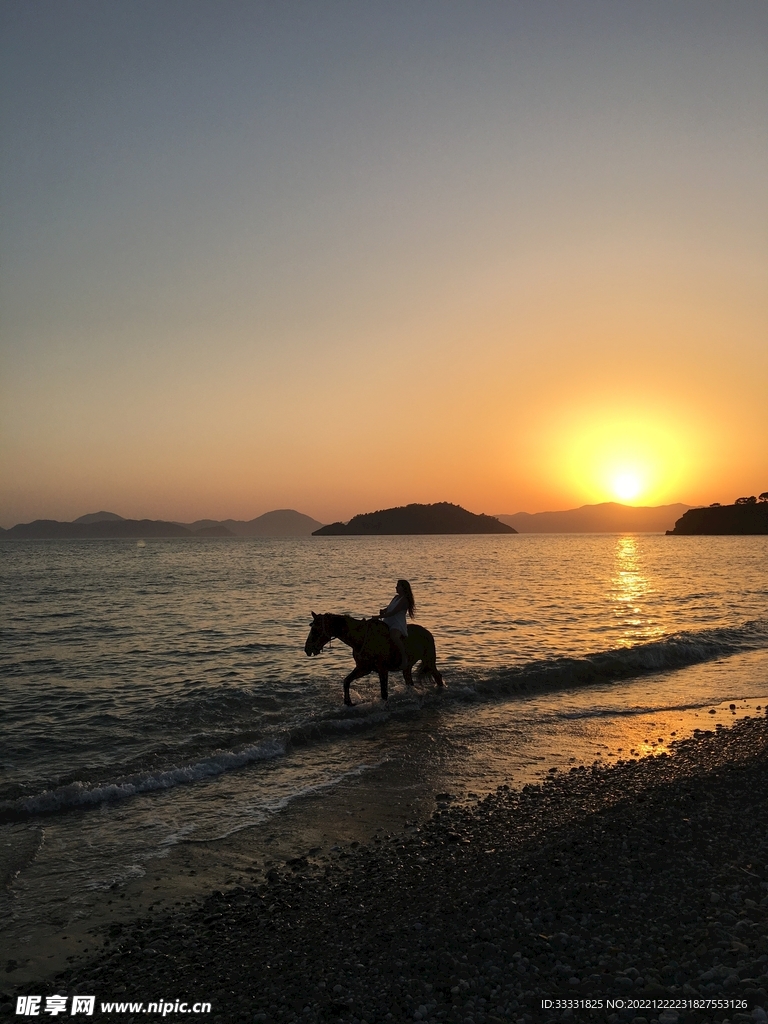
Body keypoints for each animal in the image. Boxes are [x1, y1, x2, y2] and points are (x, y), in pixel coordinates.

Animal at [304, 612, 444, 706]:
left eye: (315, 630)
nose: (307, 649)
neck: (360, 639)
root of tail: (428, 633)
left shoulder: (382, 670)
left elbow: (384, 693)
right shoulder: (363, 669)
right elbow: (346, 681)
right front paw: (348, 702)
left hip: (429, 662)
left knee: (438, 677)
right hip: (407, 667)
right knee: (410, 681)